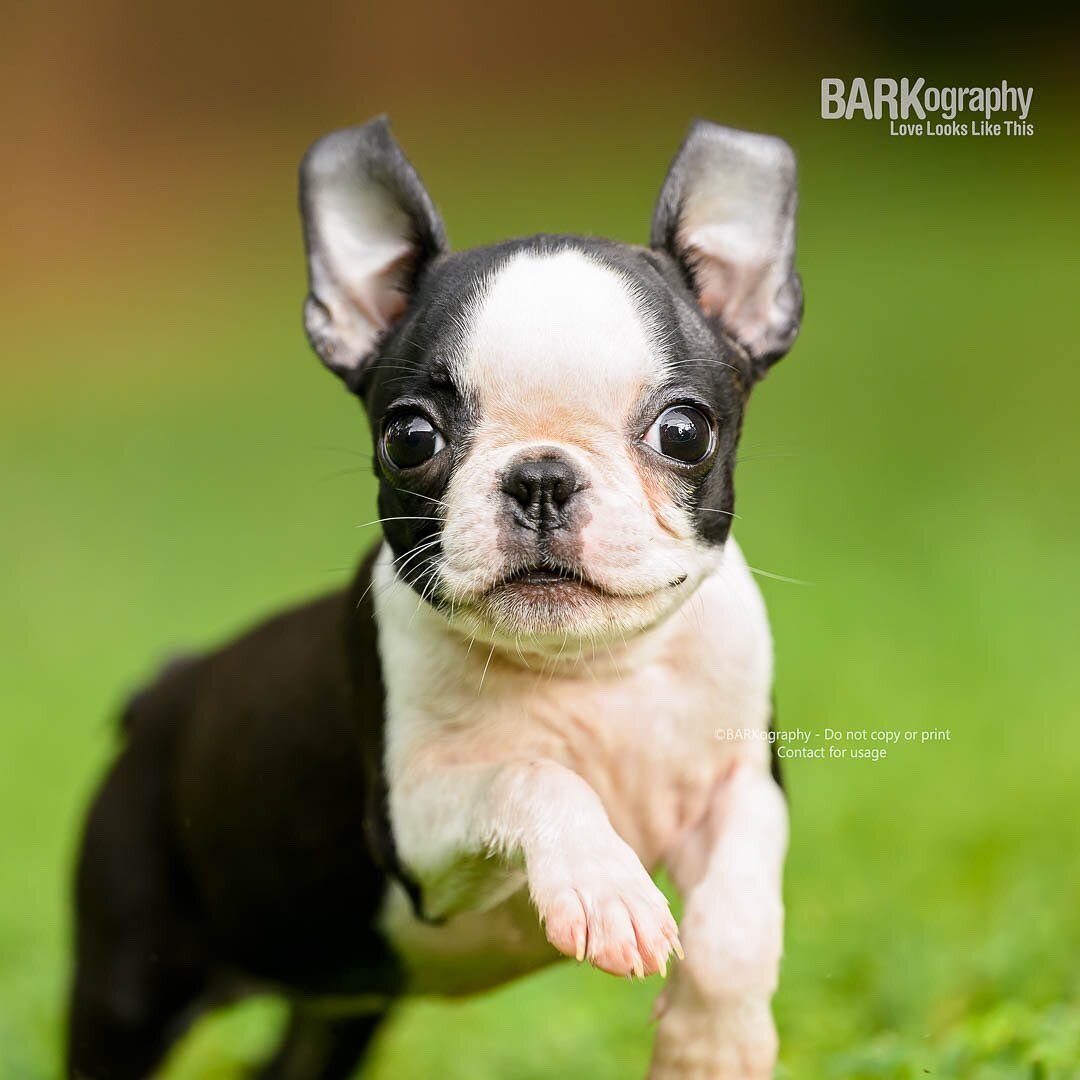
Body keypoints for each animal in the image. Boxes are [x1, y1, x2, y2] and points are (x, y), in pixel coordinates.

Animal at [69, 118, 803, 1080]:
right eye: (410, 436)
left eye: (684, 430)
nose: (540, 476)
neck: (593, 669)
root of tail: (164, 690)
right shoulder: (414, 832)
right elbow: (533, 772)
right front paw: (603, 884)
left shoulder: (744, 783)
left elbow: (737, 915)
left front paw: (711, 1045)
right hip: (131, 977)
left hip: (342, 1002)